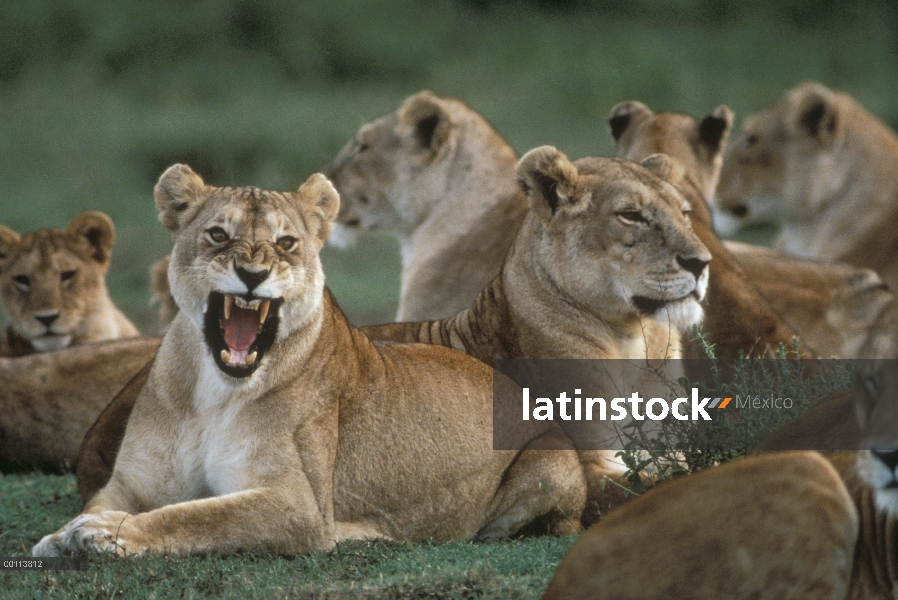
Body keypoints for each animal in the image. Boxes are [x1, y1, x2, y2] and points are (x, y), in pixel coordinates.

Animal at [31, 165, 584, 556]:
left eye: (286, 243)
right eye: (218, 234)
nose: (252, 274)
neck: (212, 390)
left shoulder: (298, 505)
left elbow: (194, 516)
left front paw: (103, 534)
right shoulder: (131, 482)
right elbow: (104, 506)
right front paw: (62, 536)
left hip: (553, 459)